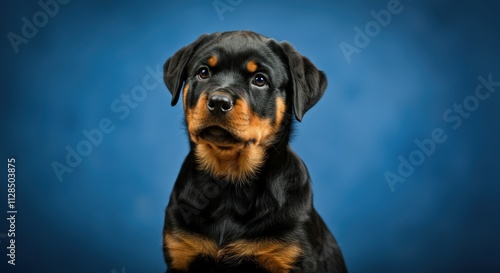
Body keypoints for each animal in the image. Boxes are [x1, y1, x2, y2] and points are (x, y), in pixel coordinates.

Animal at [162, 30, 346, 270]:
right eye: (203, 72)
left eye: (260, 80)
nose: (219, 102)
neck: (229, 181)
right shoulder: (181, 251)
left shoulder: (291, 256)